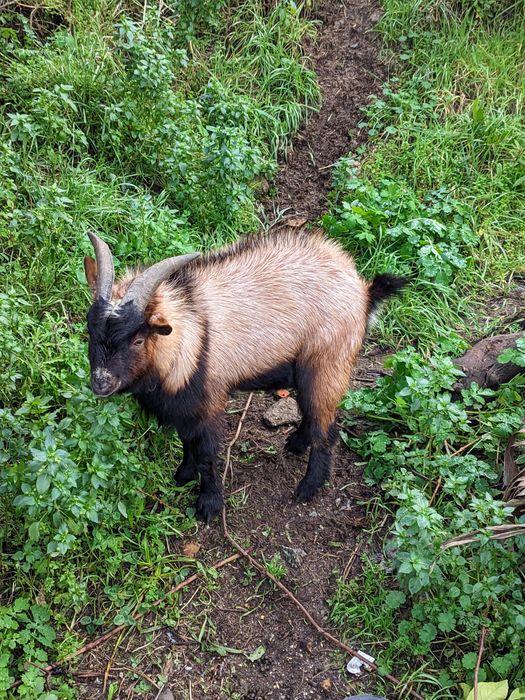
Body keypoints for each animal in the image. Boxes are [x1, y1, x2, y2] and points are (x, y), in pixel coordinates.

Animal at [84, 227, 404, 523]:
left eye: (138, 339)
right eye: (90, 330)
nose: (101, 382)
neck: (190, 335)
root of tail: (364, 291)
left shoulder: (209, 402)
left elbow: (206, 453)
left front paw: (209, 505)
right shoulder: (184, 408)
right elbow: (187, 441)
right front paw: (183, 475)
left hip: (327, 365)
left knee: (326, 426)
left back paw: (307, 488)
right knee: (313, 415)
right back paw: (296, 444)